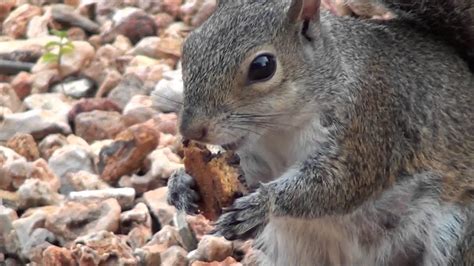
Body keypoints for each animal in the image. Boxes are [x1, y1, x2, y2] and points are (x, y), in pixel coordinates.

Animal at [168, 0, 474, 264]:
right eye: (189, 46)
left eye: (263, 66)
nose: (191, 129)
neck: (278, 130)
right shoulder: (255, 154)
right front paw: (181, 184)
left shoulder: (367, 124)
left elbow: (337, 184)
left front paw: (263, 204)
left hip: (456, 233)